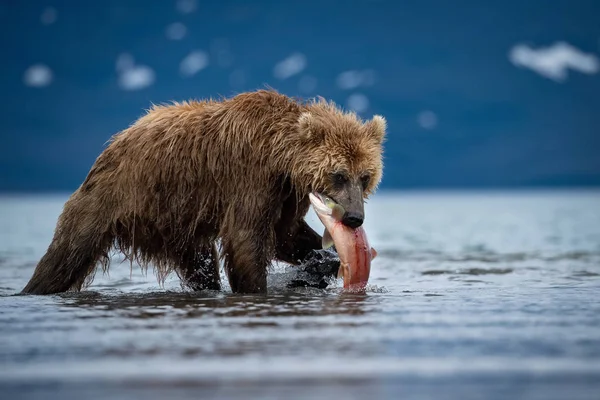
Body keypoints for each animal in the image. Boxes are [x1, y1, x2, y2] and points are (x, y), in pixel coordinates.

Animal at [21, 90, 386, 294]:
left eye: (365, 176)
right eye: (339, 175)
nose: (355, 218)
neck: (280, 156)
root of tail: (112, 144)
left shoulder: (286, 193)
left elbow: (285, 235)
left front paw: (324, 259)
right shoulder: (251, 177)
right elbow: (246, 239)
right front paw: (257, 287)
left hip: (177, 225)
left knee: (202, 264)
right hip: (111, 200)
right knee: (65, 256)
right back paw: (33, 288)